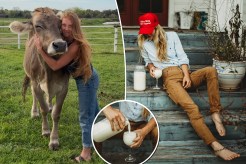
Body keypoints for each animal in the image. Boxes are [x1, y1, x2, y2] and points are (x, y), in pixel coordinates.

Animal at [9, 7, 68, 150]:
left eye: (60, 25)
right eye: (38, 26)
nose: (60, 45)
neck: (48, 71)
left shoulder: (64, 86)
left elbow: (56, 114)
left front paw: (54, 140)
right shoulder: (36, 83)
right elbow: (43, 109)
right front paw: (46, 130)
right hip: (32, 79)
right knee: (34, 96)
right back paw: (34, 112)